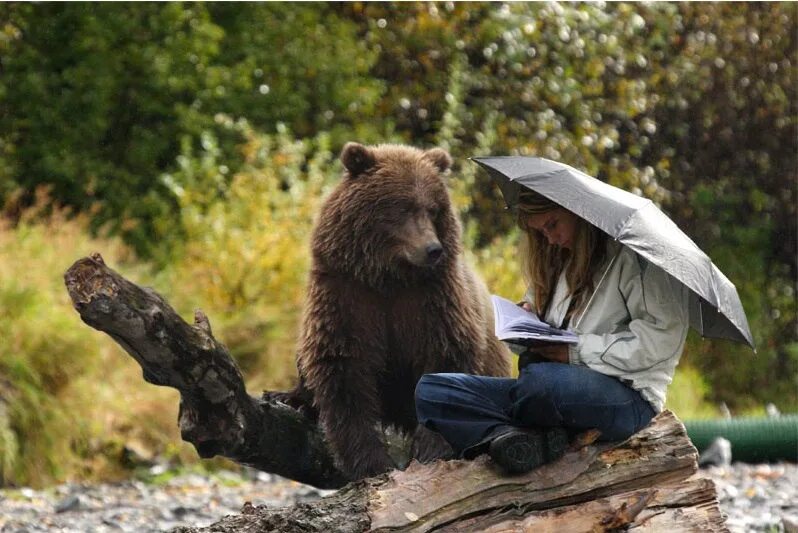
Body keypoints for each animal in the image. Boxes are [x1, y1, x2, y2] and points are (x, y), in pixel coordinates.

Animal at [296, 141, 512, 478]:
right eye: (403, 207)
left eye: (433, 208)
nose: (433, 249)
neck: (390, 277)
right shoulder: (348, 295)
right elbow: (343, 368)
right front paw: (370, 461)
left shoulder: (433, 300)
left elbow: (445, 359)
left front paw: (430, 449)